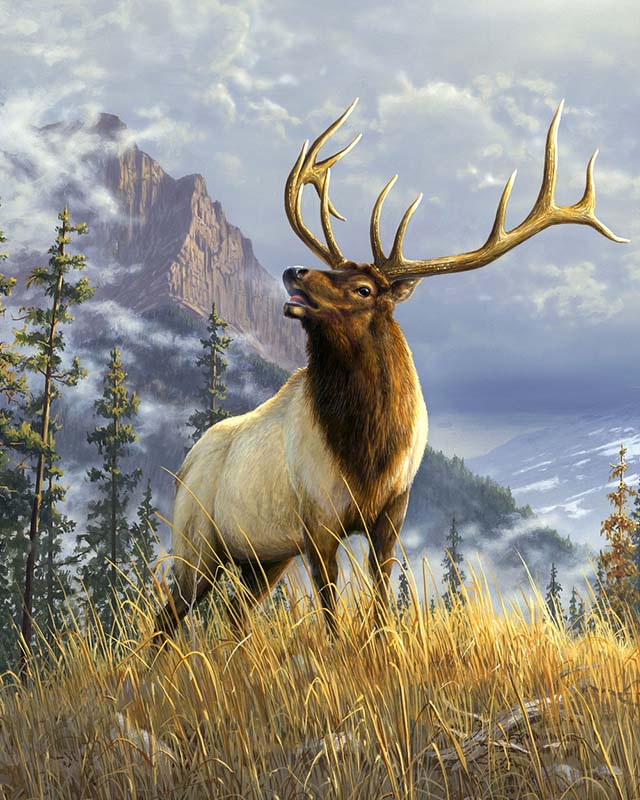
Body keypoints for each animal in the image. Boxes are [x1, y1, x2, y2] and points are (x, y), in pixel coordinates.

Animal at [153, 98, 626, 643]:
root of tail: (184, 465)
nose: (294, 271)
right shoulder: (317, 522)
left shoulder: (391, 513)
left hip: (262, 558)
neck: (368, 451)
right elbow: (331, 610)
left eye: (362, 288)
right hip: (196, 543)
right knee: (167, 619)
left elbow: (380, 597)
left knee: (233, 616)